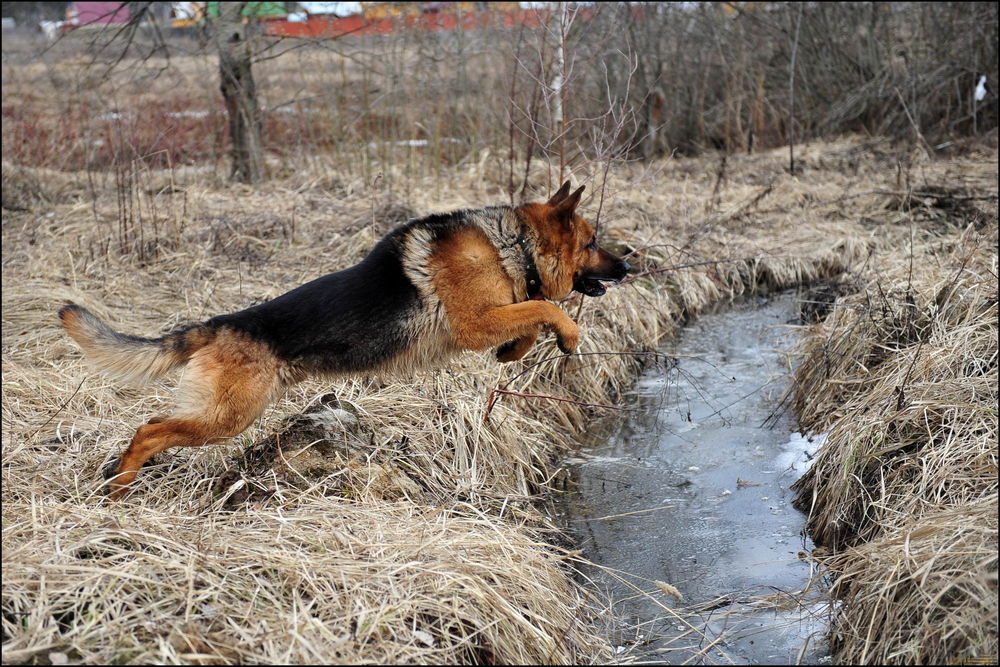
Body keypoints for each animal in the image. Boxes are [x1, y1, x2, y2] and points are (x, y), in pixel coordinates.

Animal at [58, 180, 628, 498]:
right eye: (593, 242)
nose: (630, 266)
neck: (513, 245)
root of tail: (221, 323)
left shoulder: (490, 317)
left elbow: (530, 317)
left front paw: (514, 350)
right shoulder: (475, 321)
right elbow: (546, 306)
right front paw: (567, 336)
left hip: (221, 413)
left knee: (153, 425)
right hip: (227, 416)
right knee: (149, 430)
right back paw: (119, 489)